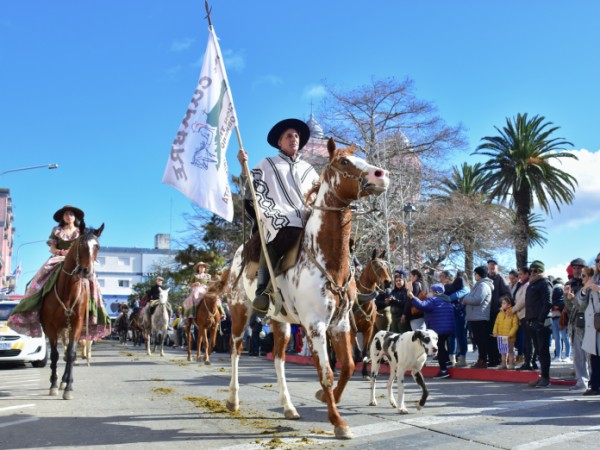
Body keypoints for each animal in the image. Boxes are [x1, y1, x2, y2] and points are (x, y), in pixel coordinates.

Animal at [39, 225, 104, 400]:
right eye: (81, 245)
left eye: (97, 246)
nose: (85, 271)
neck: (67, 290)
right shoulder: (50, 326)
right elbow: (54, 355)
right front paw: (53, 385)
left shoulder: (77, 323)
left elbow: (71, 353)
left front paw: (68, 387)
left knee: (69, 351)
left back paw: (65, 381)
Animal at [225, 140, 390, 440]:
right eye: (344, 162)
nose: (381, 175)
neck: (329, 260)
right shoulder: (315, 326)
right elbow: (326, 373)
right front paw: (338, 422)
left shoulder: (340, 325)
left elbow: (348, 366)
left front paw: (325, 398)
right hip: (240, 311)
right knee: (236, 349)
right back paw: (233, 399)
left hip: (281, 322)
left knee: (278, 359)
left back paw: (288, 406)